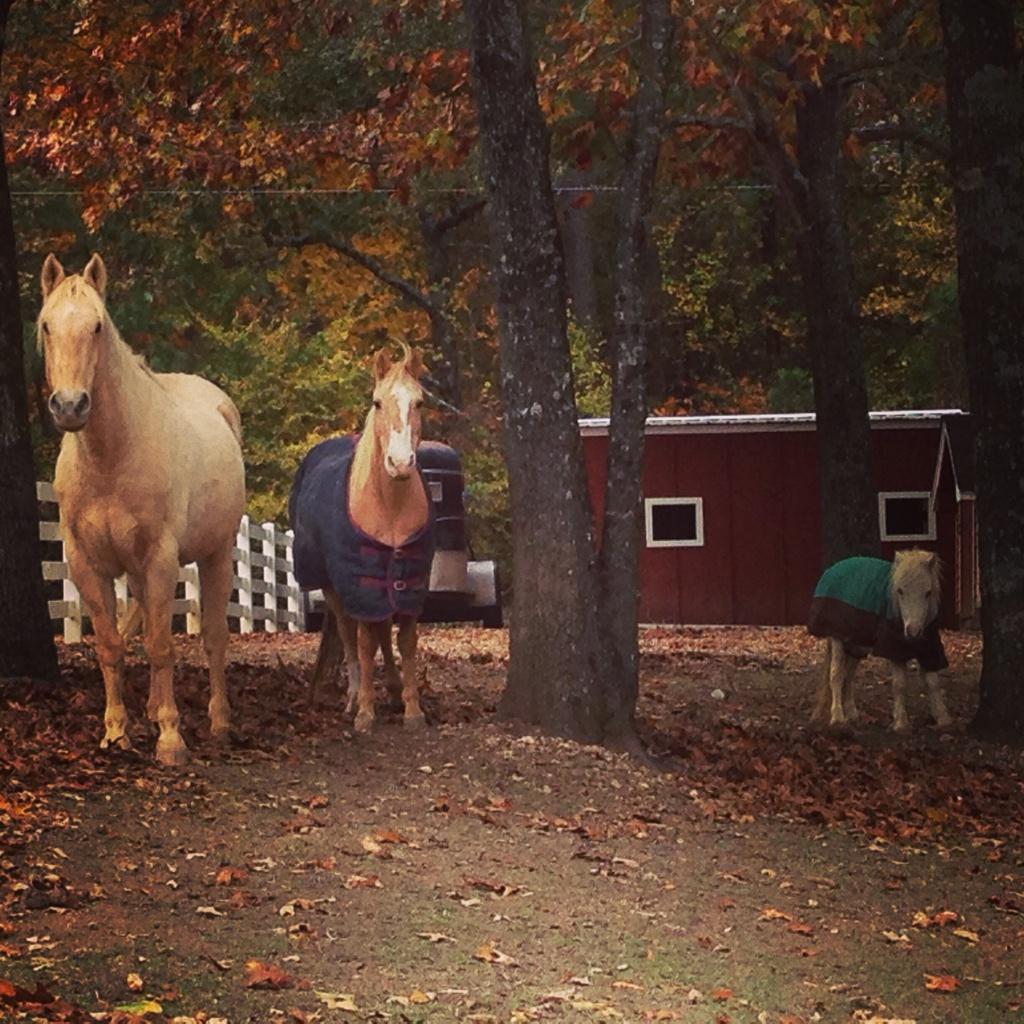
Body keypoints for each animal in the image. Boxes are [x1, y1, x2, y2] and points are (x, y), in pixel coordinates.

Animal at [39, 253, 245, 765]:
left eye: (96, 326)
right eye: (47, 325)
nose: (70, 406)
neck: (112, 456)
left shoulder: (160, 558)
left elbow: (160, 645)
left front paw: (171, 740)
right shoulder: (87, 563)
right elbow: (112, 645)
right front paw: (116, 732)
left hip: (216, 555)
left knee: (214, 637)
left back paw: (219, 721)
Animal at [289, 343, 433, 733]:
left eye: (419, 402)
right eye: (377, 402)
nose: (400, 463)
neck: (390, 506)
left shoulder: (409, 582)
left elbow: (406, 642)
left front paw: (413, 711)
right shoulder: (359, 582)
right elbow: (366, 644)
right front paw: (366, 713)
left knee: (381, 629)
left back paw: (394, 691)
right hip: (335, 588)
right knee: (350, 635)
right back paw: (354, 698)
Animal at [808, 550, 952, 732]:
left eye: (928, 592)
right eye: (900, 591)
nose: (913, 633)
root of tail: (833, 569)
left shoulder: (929, 650)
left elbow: (933, 683)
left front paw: (943, 719)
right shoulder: (895, 650)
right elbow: (900, 684)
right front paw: (901, 722)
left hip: (855, 645)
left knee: (849, 676)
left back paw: (852, 714)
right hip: (838, 638)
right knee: (836, 674)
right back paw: (838, 717)